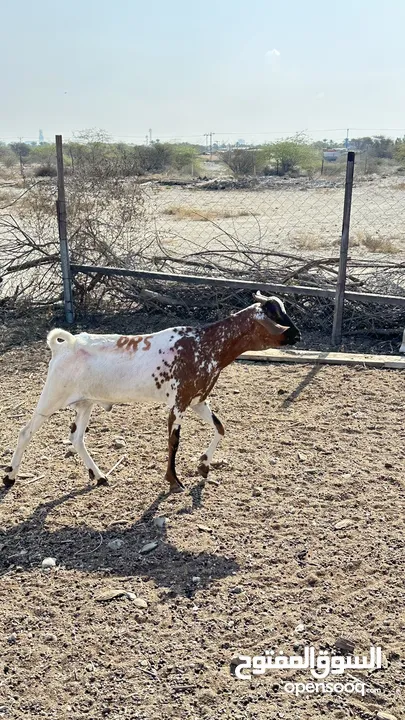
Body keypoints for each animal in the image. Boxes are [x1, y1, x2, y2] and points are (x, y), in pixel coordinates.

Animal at [3, 292, 300, 490]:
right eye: (276, 315)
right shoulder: (178, 403)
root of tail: (65, 345)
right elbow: (174, 441)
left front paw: (203, 465)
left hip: (85, 403)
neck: (206, 344)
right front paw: (174, 481)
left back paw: (99, 476)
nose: (297, 335)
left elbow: (220, 427)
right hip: (52, 397)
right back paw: (9, 477)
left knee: (76, 438)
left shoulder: (197, 400)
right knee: (26, 432)